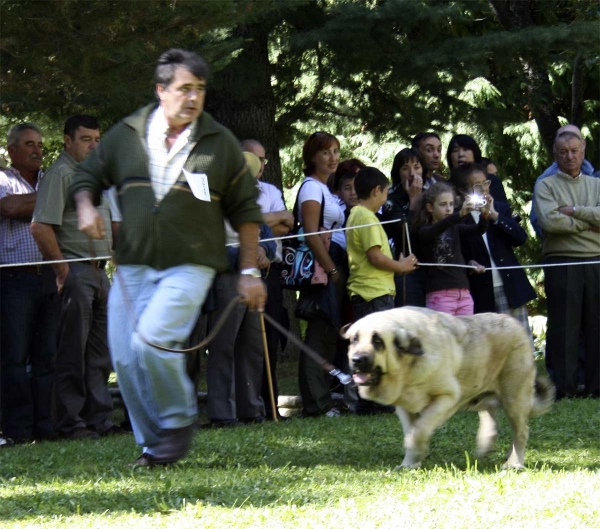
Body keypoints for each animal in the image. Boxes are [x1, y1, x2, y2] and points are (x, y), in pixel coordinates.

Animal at [344, 308, 556, 468]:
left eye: (377, 341)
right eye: (354, 339)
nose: (356, 360)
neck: (407, 367)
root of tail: (517, 324)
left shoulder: (446, 398)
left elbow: (418, 431)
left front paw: (414, 455)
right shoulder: (404, 407)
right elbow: (411, 432)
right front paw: (409, 463)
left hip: (514, 399)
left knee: (520, 432)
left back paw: (514, 463)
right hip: (478, 393)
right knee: (489, 410)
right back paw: (486, 444)